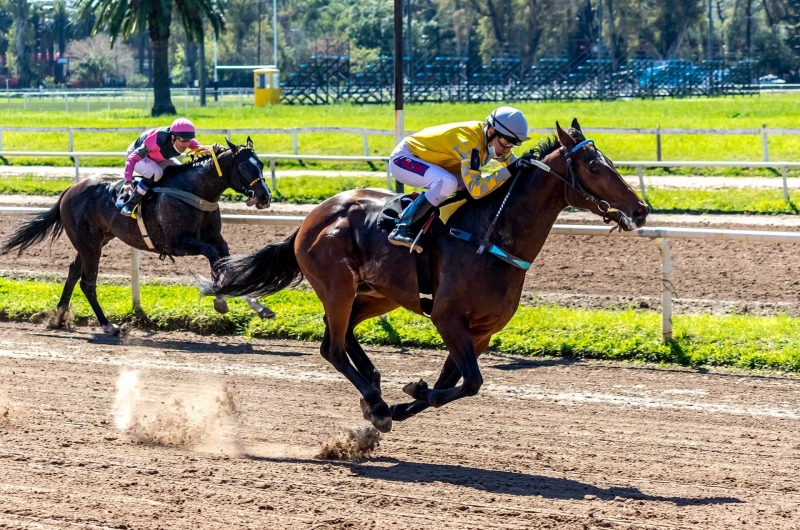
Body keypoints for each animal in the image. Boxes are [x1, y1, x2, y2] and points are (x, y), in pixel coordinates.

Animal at [208, 121, 648, 432]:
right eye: (595, 166)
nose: (640, 209)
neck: (491, 236)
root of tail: (311, 218)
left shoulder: (480, 331)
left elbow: (454, 383)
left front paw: (407, 397)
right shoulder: (447, 318)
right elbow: (470, 383)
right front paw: (400, 399)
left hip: (378, 293)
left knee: (344, 334)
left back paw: (374, 390)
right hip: (337, 285)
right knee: (332, 346)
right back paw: (374, 399)